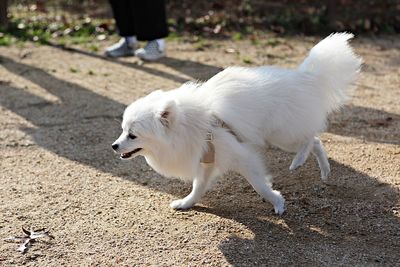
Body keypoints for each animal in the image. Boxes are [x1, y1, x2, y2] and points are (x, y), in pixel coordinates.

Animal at [111, 33, 362, 216]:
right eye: (122, 131)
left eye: (132, 135)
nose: (114, 146)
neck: (188, 126)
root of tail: (305, 77)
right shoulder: (207, 160)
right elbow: (198, 187)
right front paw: (186, 203)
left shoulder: (241, 156)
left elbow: (259, 184)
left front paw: (277, 202)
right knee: (316, 141)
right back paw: (324, 171)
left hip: (282, 134)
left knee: (311, 138)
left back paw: (299, 161)